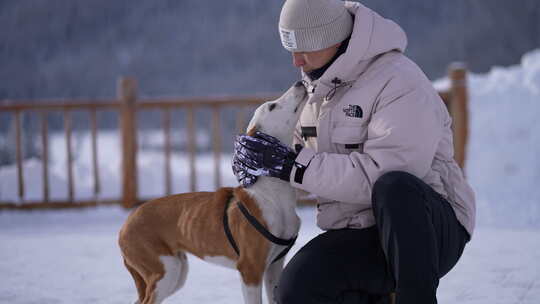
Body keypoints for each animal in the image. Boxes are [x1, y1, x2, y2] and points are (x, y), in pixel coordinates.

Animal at [120, 81, 310, 304]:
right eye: (272, 106)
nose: (299, 82)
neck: (272, 194)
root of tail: (127, 223)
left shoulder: (274, 267)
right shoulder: (250, 269)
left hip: (175, 271)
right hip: (166, 271)